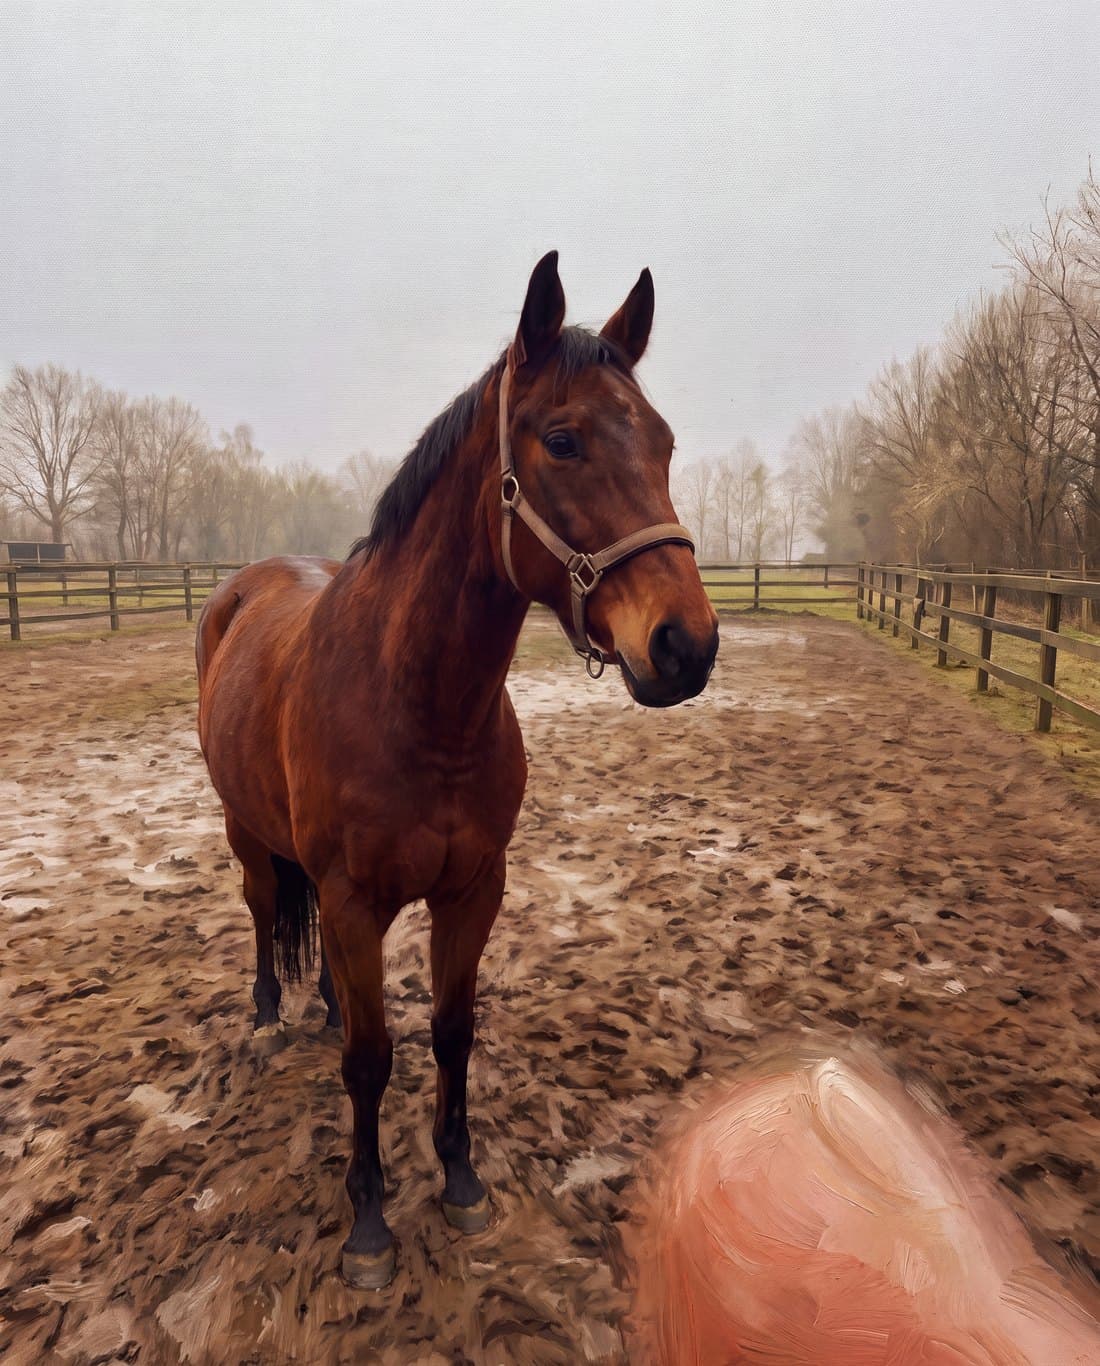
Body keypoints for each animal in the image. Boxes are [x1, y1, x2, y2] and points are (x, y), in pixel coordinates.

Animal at [195, 252, 720, 1289]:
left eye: (665, 442)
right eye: (562, 440)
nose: (686, 645)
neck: (417, 706)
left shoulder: (473, 889)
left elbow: (450, 1031)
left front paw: (462, 1180)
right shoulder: (354, 898)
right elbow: (370, 1059)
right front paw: (368, 1223)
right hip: (246, 834)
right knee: (264, 910)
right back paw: (270, 1016)